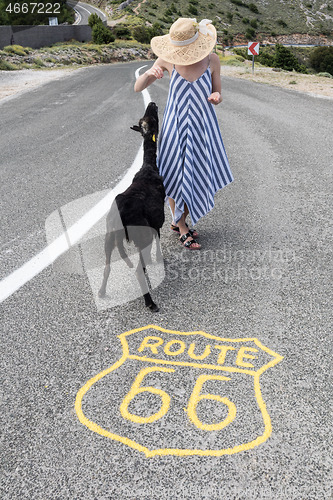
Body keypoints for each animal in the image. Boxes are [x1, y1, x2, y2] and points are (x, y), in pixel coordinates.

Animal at [98, 101, 166, 310]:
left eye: (145, 118)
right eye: (153, 119)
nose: (152, 103)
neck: (149, 167)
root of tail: (118, 216)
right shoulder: (156, 219)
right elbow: (158, 239)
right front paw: (158, 259)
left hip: (108, 238)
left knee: (107, 267)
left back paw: (101, 292)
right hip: (141, 236)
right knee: (137, 270)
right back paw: (150, 303)